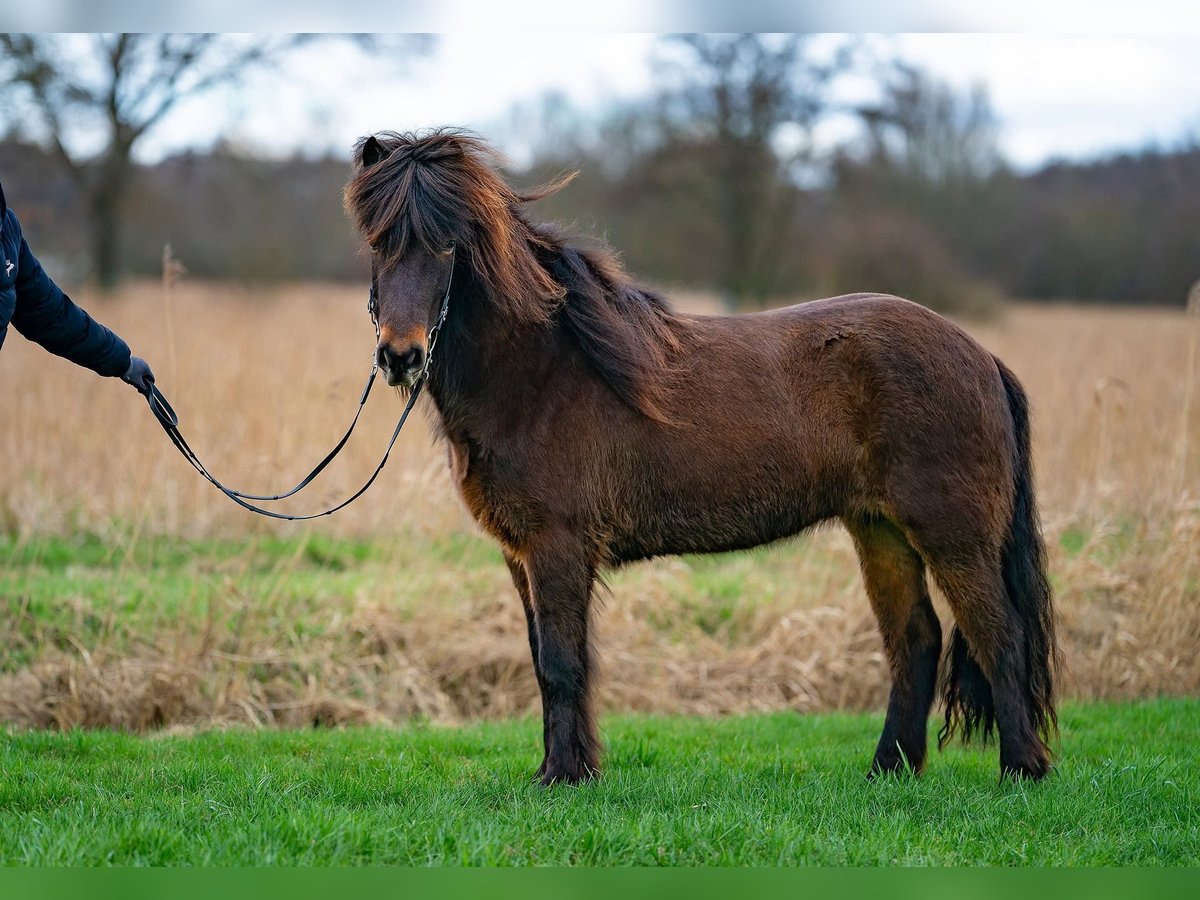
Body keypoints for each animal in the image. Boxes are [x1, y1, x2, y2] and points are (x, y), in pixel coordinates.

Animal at [340, 130, 1060, 787]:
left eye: (447, 244)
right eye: (376, 241)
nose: (400, 356)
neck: (541, 372)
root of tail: (981, 357)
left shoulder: (558, 547)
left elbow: (564, 664)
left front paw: (565, 778)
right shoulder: (521, 555)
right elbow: (545, 662)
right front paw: (561, 769)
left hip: (953, 534)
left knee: (1000, 636)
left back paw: (1021, 770)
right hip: (880, 531)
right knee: (915, 641)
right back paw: (889, 770)